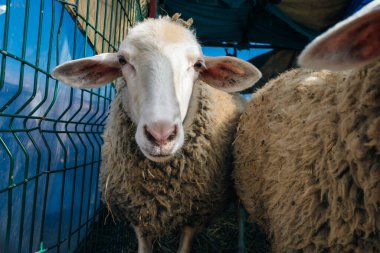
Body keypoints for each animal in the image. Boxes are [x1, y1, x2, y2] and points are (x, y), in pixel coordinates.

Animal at [51, 14, 262, 252]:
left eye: (198, 64)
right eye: (122, 61)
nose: (160, 135)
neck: (161, 188)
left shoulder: (194, 214)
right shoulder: (139, 214)